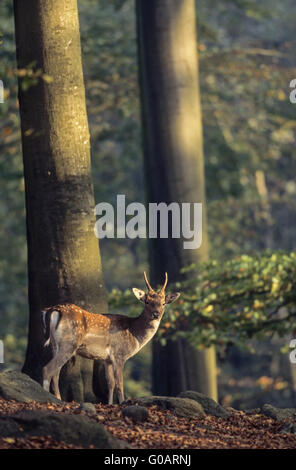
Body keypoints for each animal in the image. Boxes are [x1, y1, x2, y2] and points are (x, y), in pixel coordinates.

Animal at [41, 272, 180, 404]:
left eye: (163, 303)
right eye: (147, 302)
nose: (156, 314)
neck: (134, 333)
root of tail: (52, 310)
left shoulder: (106, 359)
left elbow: (110, 384)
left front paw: (109, 404)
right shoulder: (119, 354)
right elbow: (120, 384)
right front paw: (122, 403)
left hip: (55, 345)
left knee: (55, 373)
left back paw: (58, 398)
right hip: (69, 343)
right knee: (48, 369)